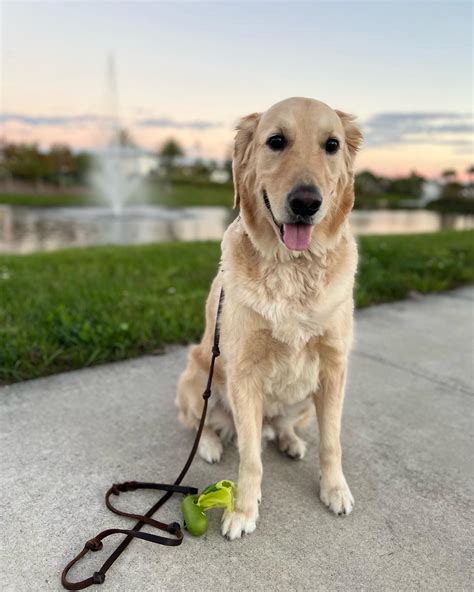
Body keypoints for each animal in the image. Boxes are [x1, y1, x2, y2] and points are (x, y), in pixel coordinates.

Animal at [177, 96, 362, 536]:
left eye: (331, 145)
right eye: (276, 141)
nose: (306, 202)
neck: (293, 268)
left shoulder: (334, 367)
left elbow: (332, 442)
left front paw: (334, 490)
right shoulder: (243, 373)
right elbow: (250, 458)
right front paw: (243, 510)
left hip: (305, 402)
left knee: (283, 426)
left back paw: (289, 440)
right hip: (195, 376)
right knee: (199, 424)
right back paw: (210, 444)